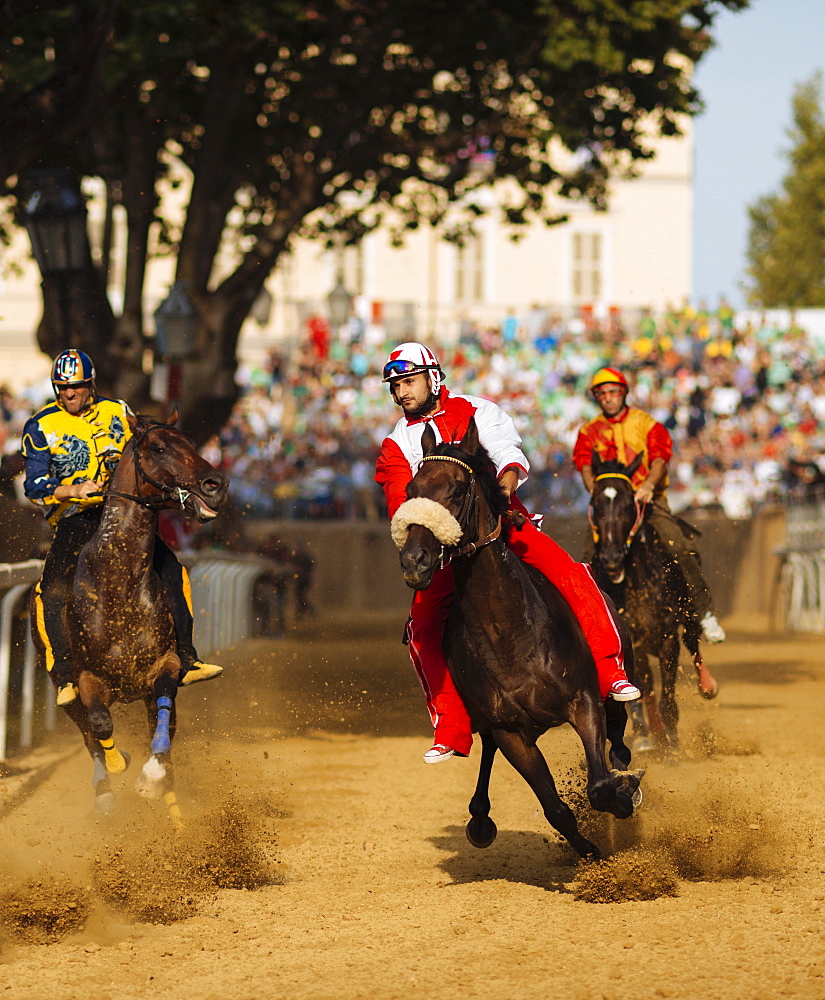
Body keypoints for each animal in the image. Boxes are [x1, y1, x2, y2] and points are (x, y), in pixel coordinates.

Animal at [392, 418, 644, 864]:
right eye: (410, 490)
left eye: (458, 489)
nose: (415, 561)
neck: (510, 635)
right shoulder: (510, 731)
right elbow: (556, 808)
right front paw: (589, 853)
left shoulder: (583, 701)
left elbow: (599, 785)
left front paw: (624, 793)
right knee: (488, 751)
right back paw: (479, 817)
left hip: (613, 685)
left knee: (617, 734)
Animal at [584, 454, 716, 752]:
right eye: (596, 504)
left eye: (628, 503)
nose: (611, 557)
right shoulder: (633, 639)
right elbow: (640, 688)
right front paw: (645, 735)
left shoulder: (667, 636)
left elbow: (667, 696)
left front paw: (674, 746)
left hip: (688, 615)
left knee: (693, 643)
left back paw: (707, 686)